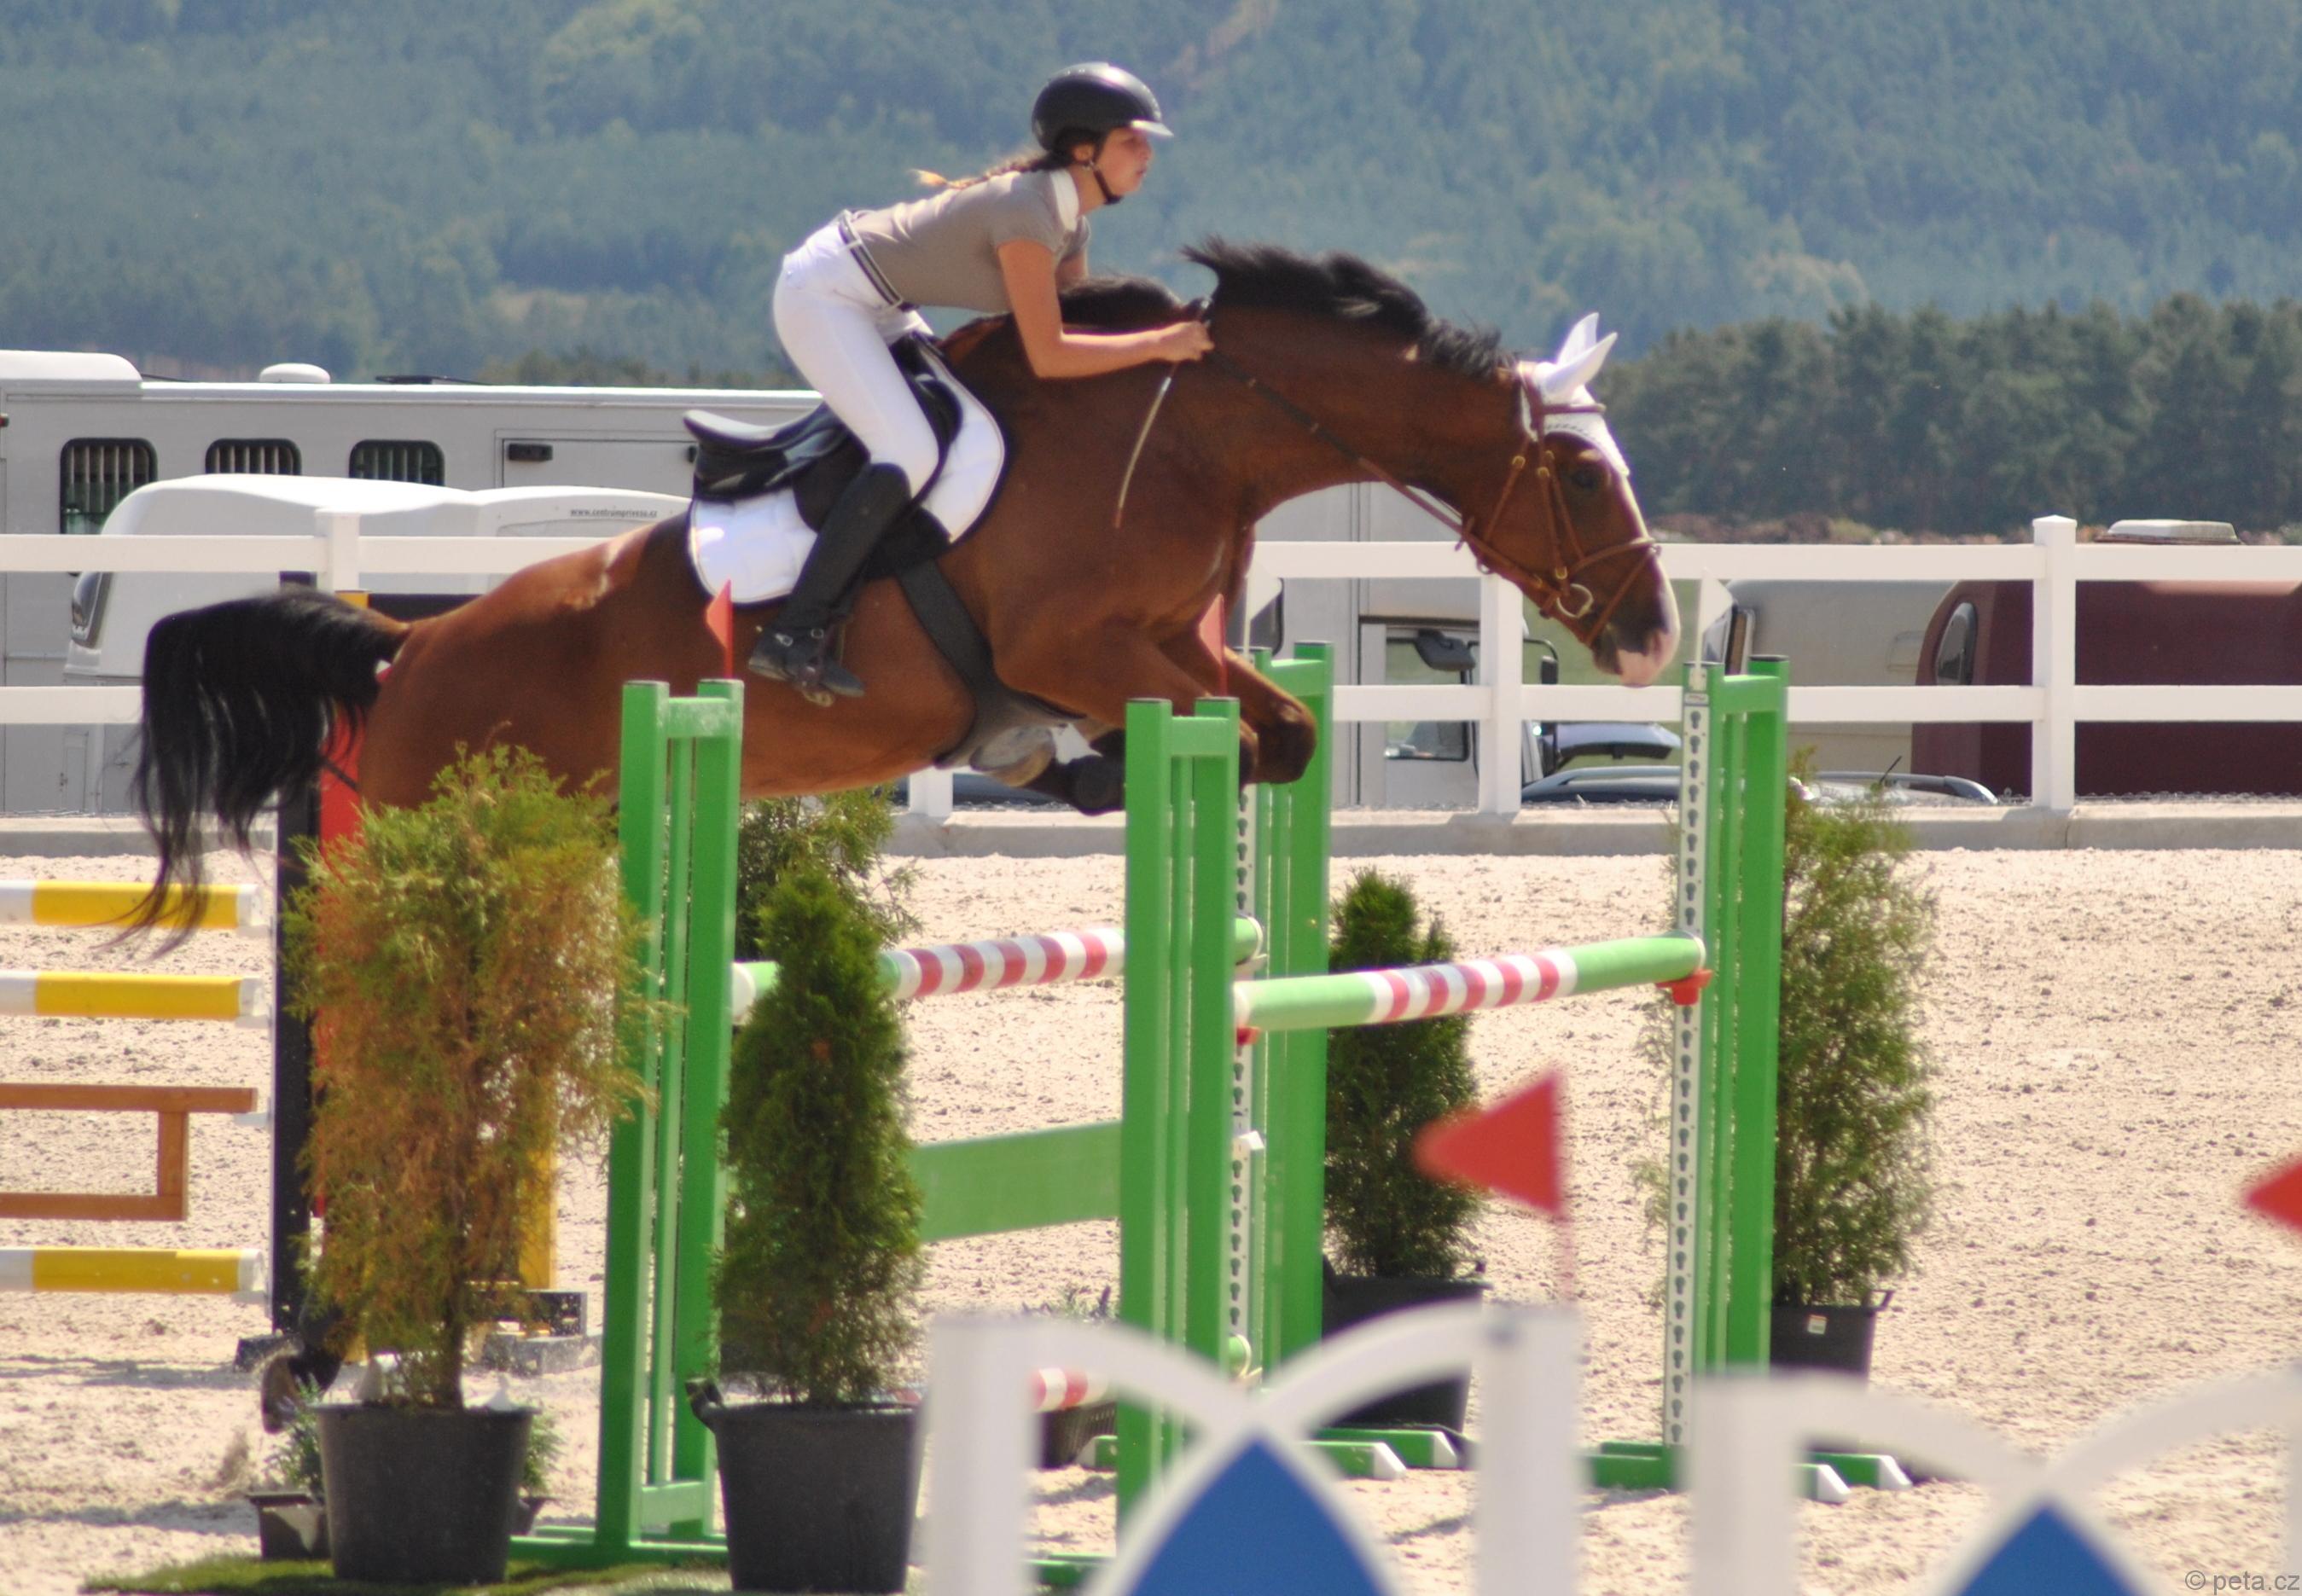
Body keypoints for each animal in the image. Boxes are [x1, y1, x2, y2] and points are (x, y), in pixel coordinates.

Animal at [131, 240, 1679, 924]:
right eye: (1581, 475)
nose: (1654, 635)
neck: (1184, 431)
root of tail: (405, 648)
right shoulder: (1072, 644)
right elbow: (1224, 730)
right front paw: (1094, 772)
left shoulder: (1164, 644)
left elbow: (1283, 730)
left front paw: (1089, 774)